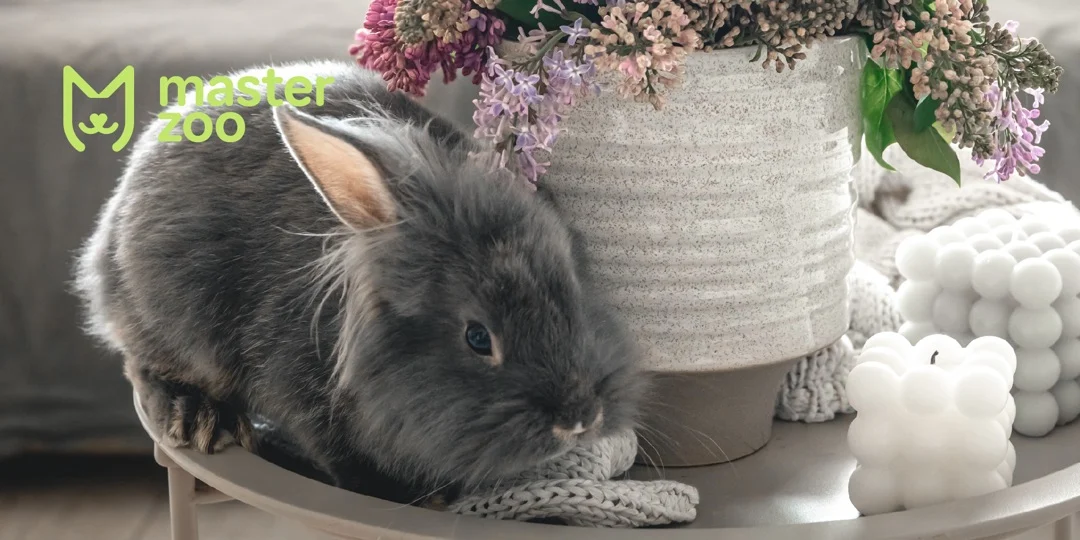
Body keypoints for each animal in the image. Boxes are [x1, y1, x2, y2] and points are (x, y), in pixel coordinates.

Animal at [73, 60, 645, 505]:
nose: (579, 419)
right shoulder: (298, 386)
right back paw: (200, 419)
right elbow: (340, 455)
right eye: (478, 337)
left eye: (572, 294)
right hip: (167, 317)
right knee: (141, 364)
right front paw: (408, 495)